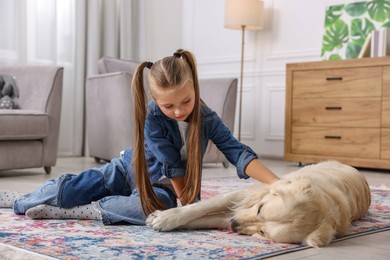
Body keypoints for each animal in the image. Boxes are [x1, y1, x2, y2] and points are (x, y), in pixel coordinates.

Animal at [147, 160, 372, 248]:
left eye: (264, 233)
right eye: (260, 209)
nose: (233, 225)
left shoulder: (233, 213)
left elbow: (203, 218)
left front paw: (164, 220)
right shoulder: (246, 195)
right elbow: (202, 207)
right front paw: (165, 217)